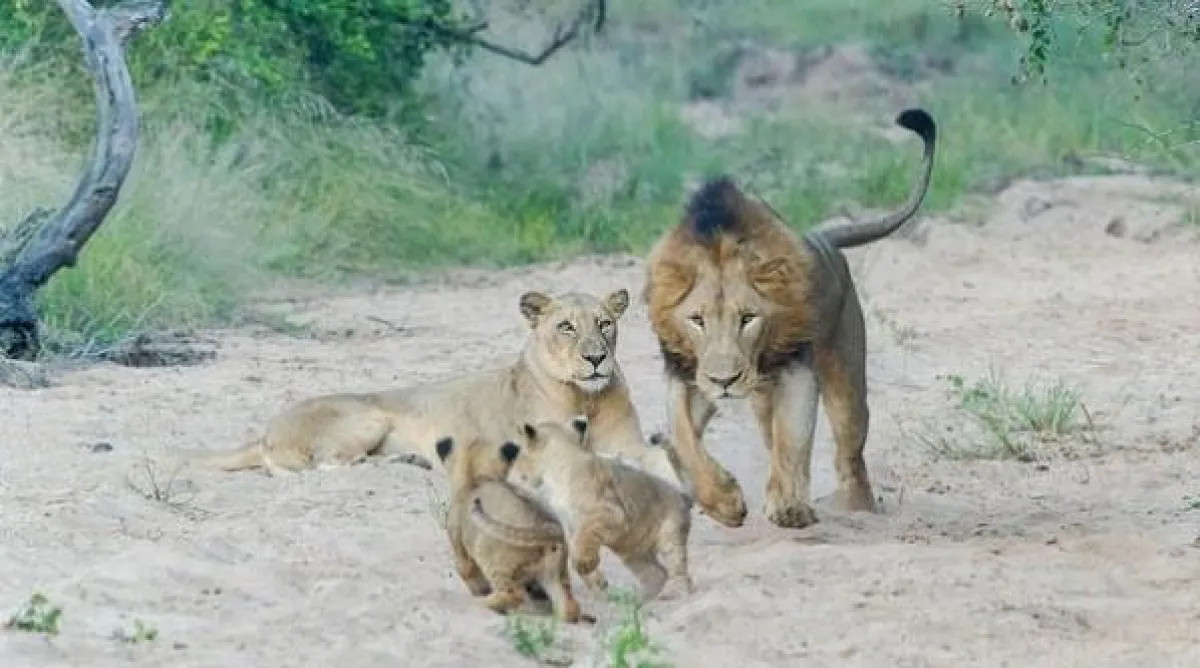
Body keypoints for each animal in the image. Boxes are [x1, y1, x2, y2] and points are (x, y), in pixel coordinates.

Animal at [176, 288, 682, 488]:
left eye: (605, 324)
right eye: (566, 327)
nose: (596, 359)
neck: (584, 395)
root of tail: (266, 430)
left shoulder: (628, 441)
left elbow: (652, 455)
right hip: (367, 415)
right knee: (330, 464)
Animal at [435, 435, 590, 623]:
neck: (477, 477)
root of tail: (551, 526)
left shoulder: (459, 547)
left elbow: (468, 573)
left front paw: (478, 593)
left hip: (491, 555)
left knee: (513, 594)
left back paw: (483, 602)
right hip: (555, 574)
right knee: (570, 606)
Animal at [494, 416, 695, 602]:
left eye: (517, 453)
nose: (508, 477)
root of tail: (683, 495)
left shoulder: (608, 513)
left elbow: (585, 539)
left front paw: (586, 564)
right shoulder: (569, 523)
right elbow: (574, 546)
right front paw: (596, 580)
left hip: (670, 533)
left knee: (679, 569)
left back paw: (671, 593)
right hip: (635, 555)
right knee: (657, 573)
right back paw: (644, 599)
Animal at [642, 107, 938, 530]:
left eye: (748, 318)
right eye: (697, 320)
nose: (725, 380)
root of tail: (822, 238)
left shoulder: (796, 368)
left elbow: (791, 440)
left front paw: (788, 506)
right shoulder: (686, 375)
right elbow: (685, 439)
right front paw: (724, 501)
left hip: (846, 382)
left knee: (849, 454)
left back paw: (856, 508)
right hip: (758, 397)